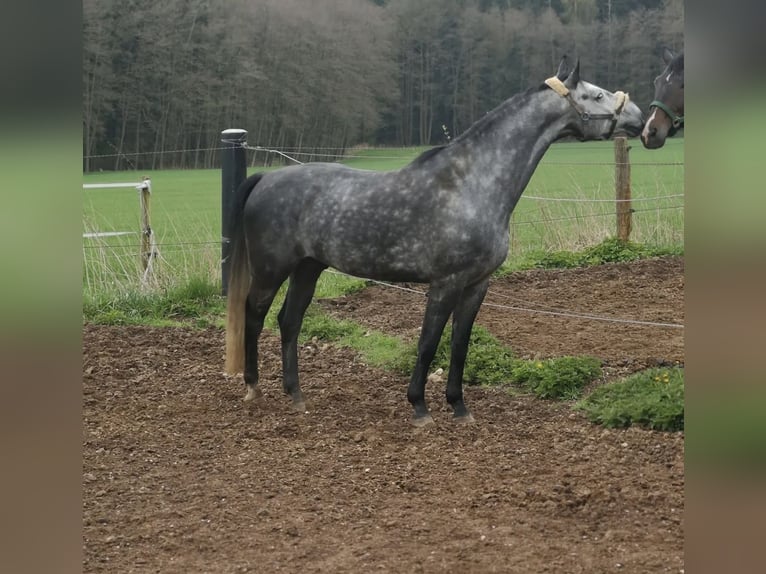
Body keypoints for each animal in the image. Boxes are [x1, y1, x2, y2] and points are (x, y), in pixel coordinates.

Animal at [225, 57, 644, 426]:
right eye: (595, 94)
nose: (640, 119)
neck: (471, 184)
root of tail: (265, 178)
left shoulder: (477, 285)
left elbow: (459, 345)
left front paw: (459, 407)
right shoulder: (445, 283)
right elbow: (428, 343)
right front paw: (420, 408)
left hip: (308, 268)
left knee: (289, 320)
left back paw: (296, 395)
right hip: (271, 269)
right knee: (255, 314)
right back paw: (253, 388)